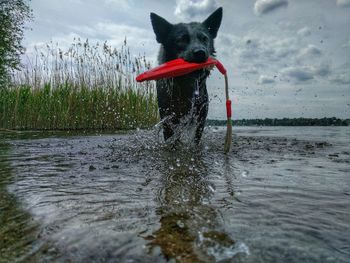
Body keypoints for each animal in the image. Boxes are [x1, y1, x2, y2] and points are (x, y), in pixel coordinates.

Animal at [150, 6, 221, 144]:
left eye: (204, 38)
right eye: (181, 39)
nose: (200, 53)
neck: (185, 84)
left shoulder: (200, 114)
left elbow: (196, 138)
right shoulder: (167, 115)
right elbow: (171, 137)